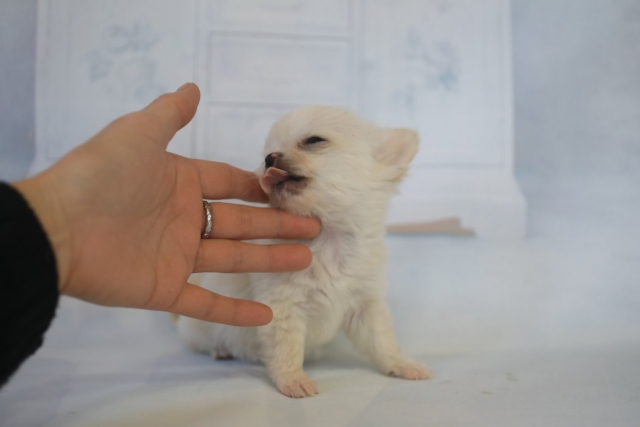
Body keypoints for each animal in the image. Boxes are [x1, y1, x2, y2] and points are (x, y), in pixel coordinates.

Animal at [176, 106, 431, 398]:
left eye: (314, 141)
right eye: (267, 151)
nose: (269, 158)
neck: (328, 239)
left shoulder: (366, 305)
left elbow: (383, 341)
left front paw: (402, 364)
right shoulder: (282, 307)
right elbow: (286, 349)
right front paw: (293, 380)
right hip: (200, 328)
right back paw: (220, 350)